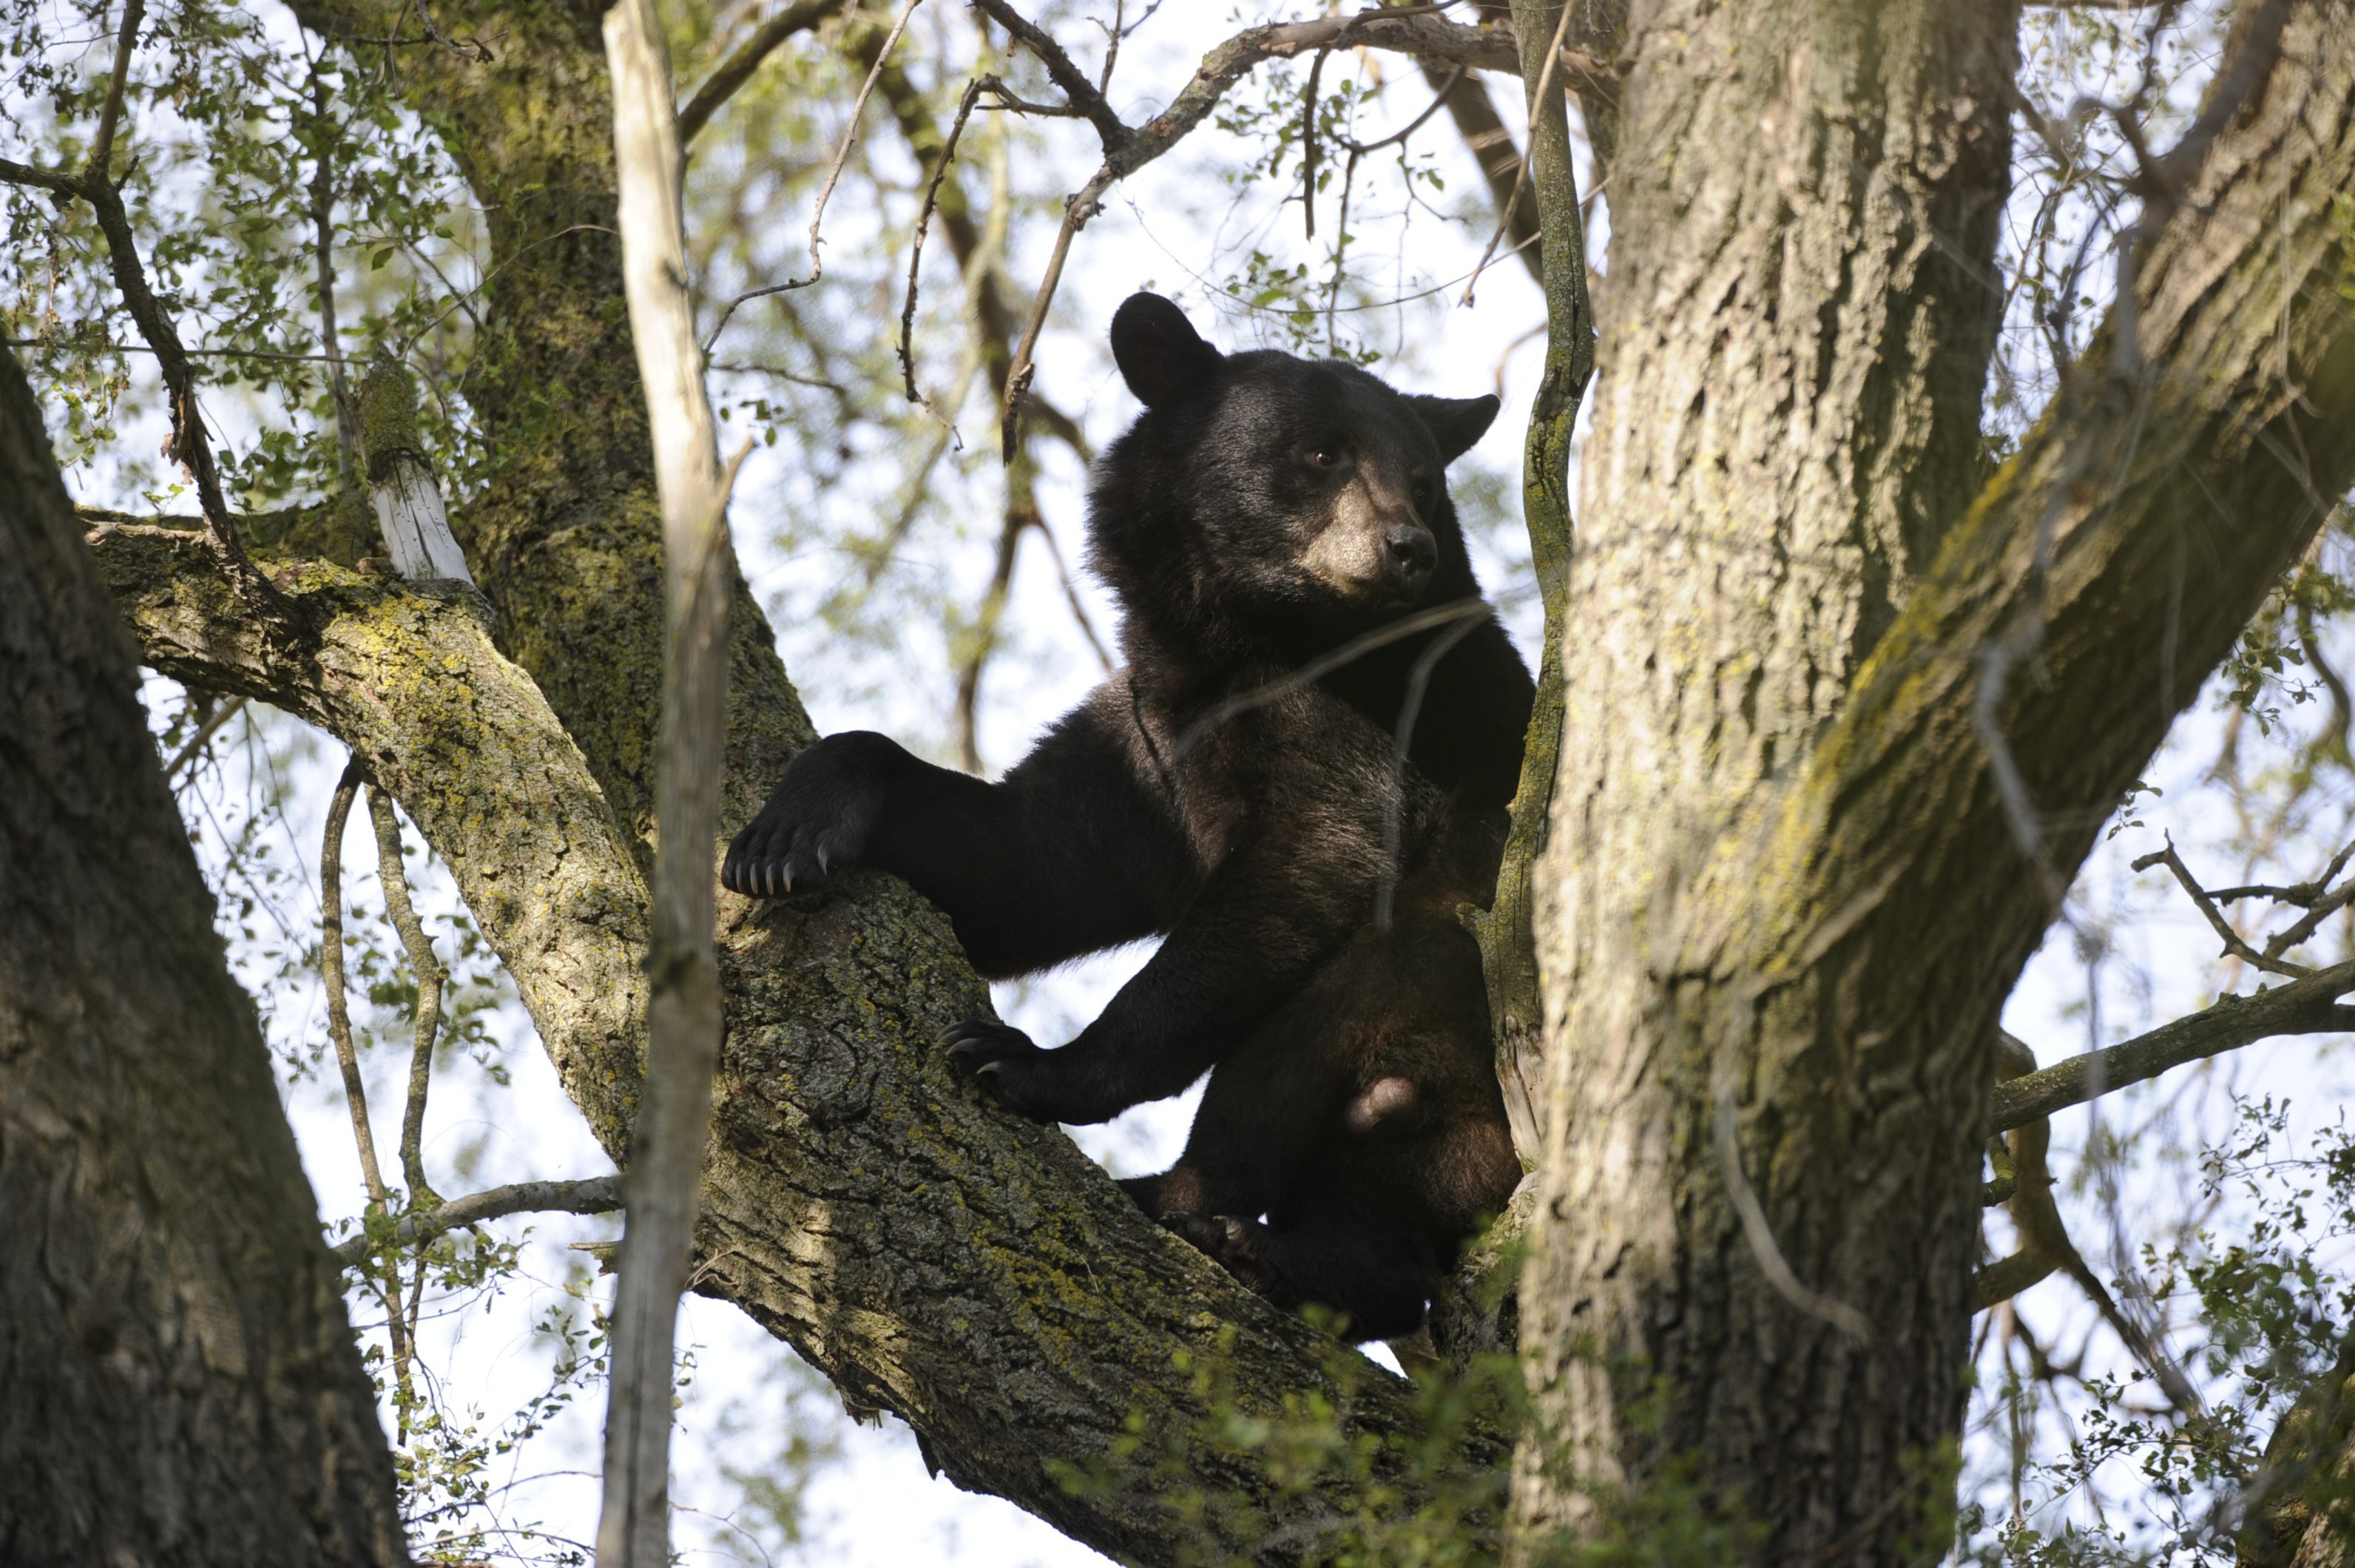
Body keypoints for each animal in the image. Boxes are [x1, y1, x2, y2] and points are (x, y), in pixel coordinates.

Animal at [734, 293, 1544, 1328]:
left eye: (1423, 478)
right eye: (1321, 453)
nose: (1408, 548)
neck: (1237, 643)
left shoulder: (1375, 721)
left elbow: (1319, 855)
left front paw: (1028, 1060)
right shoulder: (1147, 737)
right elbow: (1032, 864)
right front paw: (787, 835)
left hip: (1473, 1039)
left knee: (1354, 992)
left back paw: (1196, 1207)